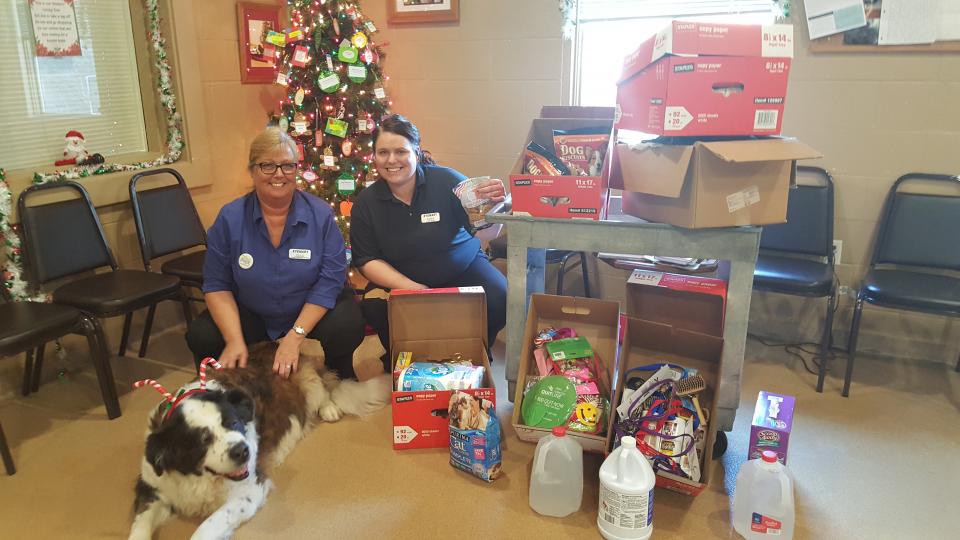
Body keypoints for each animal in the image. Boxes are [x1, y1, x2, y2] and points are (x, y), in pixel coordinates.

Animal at [127, 342, 390, 540]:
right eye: (203, 439)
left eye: (233, 423)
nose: (242, 451)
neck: (196, 476)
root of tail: (275, 343)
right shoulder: (151, 487)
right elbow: (140, 525)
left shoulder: (249, 491)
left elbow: (206, 527)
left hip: (308, 380)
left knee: (325, 391)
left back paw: (329, 408)